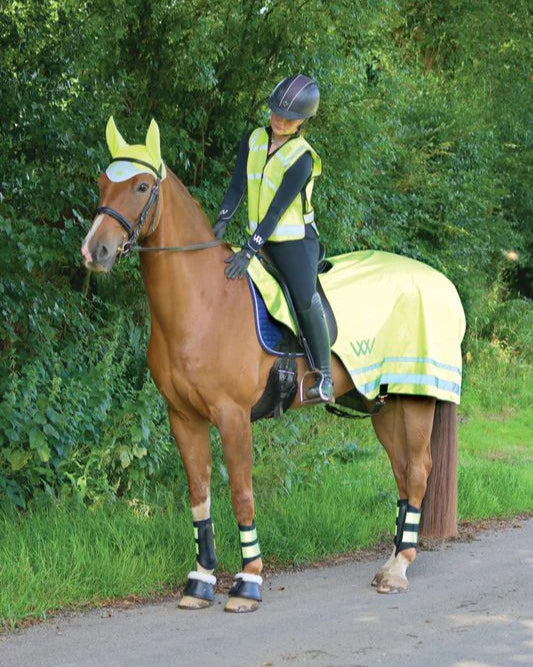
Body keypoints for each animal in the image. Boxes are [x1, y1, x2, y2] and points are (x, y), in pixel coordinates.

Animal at [81, 117, 459, 613]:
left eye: (142, 186)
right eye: (102, 183)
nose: (95, 251)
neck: (204, 303)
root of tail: (440, 283)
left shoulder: (232, 415)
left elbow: (242, 495)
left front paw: (248, 582)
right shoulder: (183, 417)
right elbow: (199, 495)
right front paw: (200, 580)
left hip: (414, 400)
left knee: (416, 471)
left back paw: (398, 569)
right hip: (383, 403)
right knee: (401, 470)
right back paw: (394, 558)